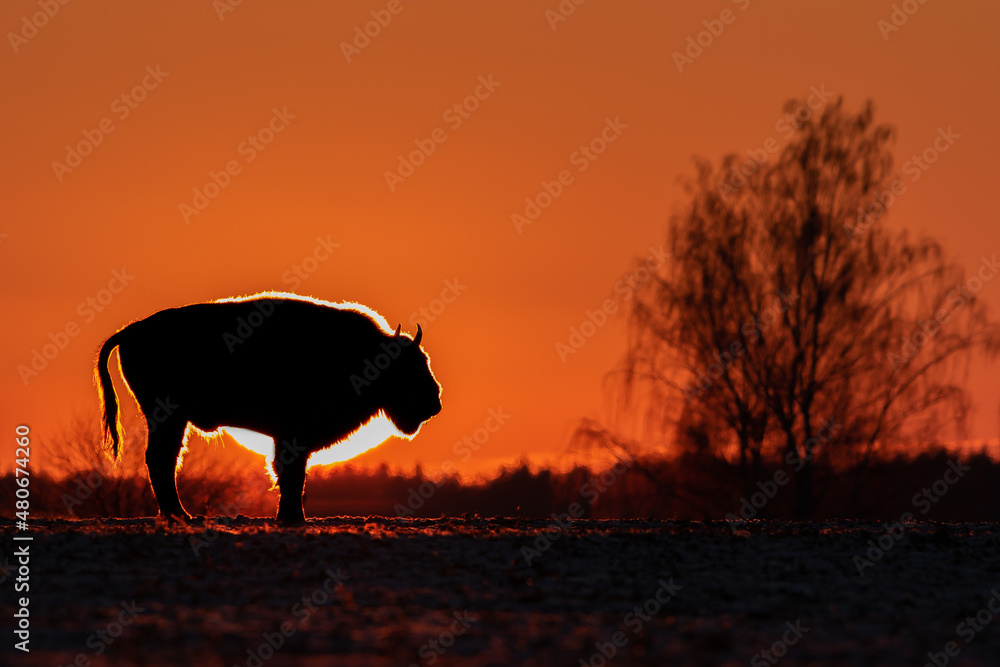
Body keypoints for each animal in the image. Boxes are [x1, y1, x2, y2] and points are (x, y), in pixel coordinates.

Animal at [96, 294, 442, 524]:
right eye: (409, 366)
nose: (434, 402)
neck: (364, 354)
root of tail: (132, 330)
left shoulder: (289, 438)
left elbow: (291, 475)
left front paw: (290, 516)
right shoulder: (293, 436)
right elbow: (291, 475)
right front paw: (293, 518)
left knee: (162, 460)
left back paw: (178, 515)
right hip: (168, 417)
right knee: (161, 459)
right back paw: (181, 515)